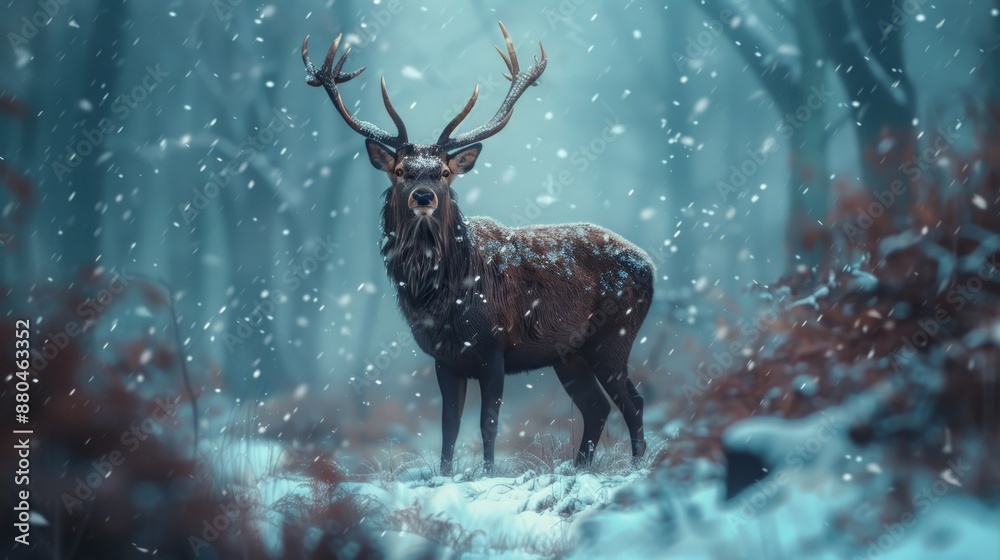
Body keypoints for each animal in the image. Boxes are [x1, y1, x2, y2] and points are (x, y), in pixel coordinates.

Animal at [302, 22, 654, 475]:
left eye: (444, 172)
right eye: (400, 170)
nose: (422, 196)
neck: (444, 298)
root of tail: (651, 266)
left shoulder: (494, 347)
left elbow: (489, 422)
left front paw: (488, 472)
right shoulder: (444, 357)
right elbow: (448, 426)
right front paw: (446, 474)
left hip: (614, 335)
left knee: (633, 400)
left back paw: (637, 466)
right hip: (568, 352)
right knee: (596, 406)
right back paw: (578, 468)